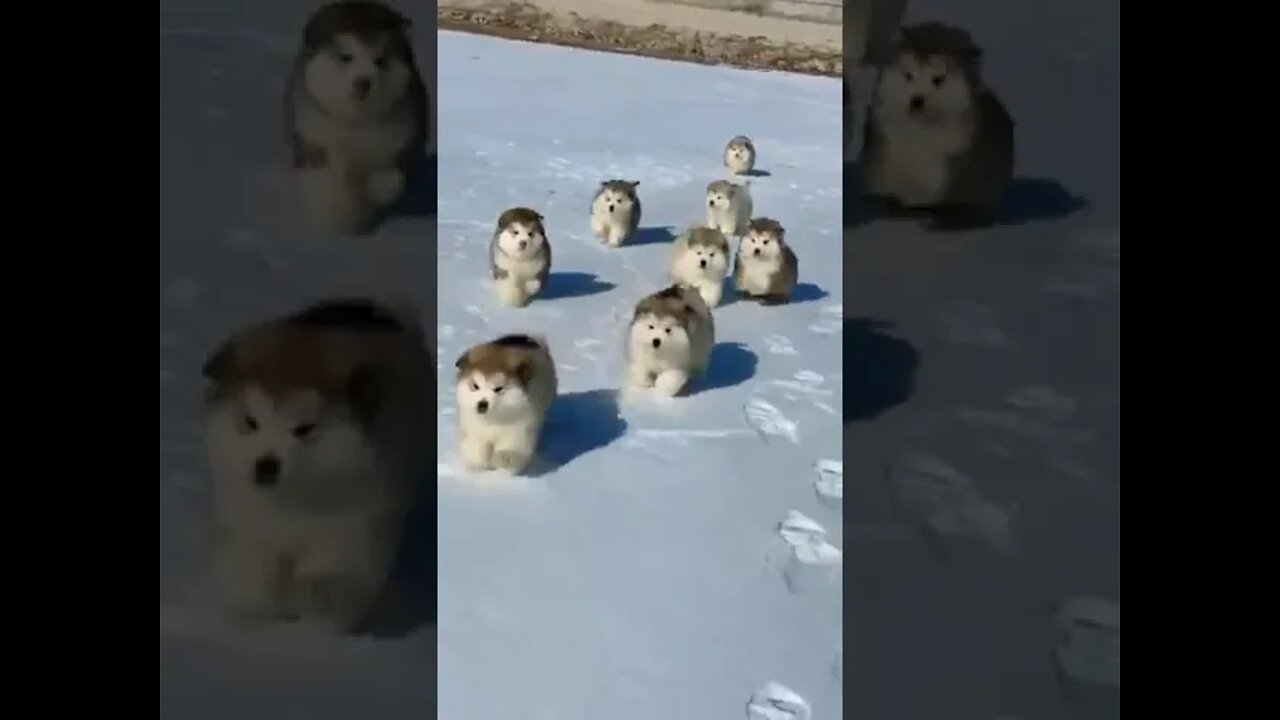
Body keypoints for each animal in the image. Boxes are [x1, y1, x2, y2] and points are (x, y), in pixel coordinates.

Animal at [202, 294, 432, 630]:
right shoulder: (247, 526)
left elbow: (333, 584)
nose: (266, 467)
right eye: (250, 421)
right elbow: (251, 575)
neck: (295, 500)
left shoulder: (353, 534)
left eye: (305, 428)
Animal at [282, 0, 427, 233]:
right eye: (346, 57)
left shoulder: (403, 137)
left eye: (380, 60)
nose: (363, 82)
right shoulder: (310, 134)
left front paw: (373, 190)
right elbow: (326, 181)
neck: (356, 121)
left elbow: (391, 178)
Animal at [455, 333, 555, 474]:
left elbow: (513, 450)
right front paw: (477, 465)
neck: (493, 420)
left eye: (498, 389)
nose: (482, 404)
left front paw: (503, 459)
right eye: (475, 386)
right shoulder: (474, 428)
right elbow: (475, 447)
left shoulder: (519, 429)